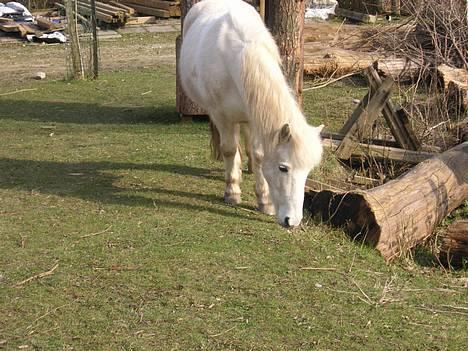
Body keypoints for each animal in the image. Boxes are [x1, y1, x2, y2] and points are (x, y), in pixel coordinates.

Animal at [181, 0, 324, 228]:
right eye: (283, 168)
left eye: (308, 171)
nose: (292, 221)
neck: (241, 55)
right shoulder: (222, 117)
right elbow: (229, 150)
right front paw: (232, 192)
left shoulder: (256, 117)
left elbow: (258, 155)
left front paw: (264, 201)